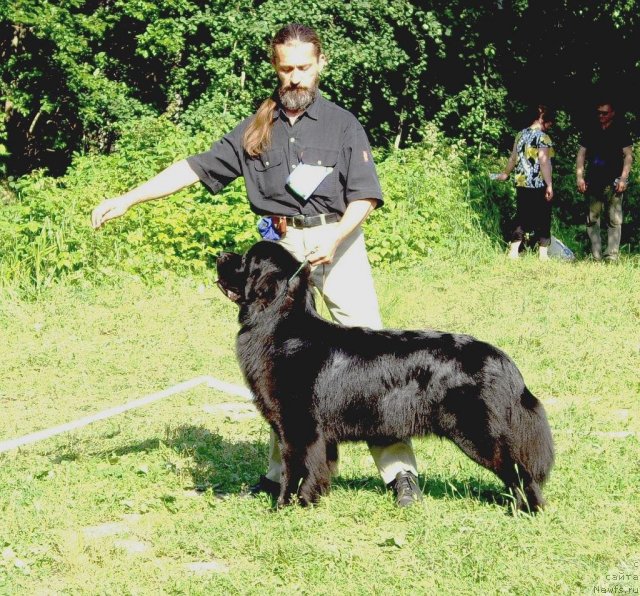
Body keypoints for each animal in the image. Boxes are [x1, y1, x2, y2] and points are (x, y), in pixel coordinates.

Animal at [218, 240, 552, 510]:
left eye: (245, 259)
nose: (221, 255)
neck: (282, 326)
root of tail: (503, 361)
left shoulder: (298, 427)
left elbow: (294, 469)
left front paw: (284, 506)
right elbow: (317, 470)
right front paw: (311, 499)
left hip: (480, 433)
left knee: (521, 470)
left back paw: (528, 508)